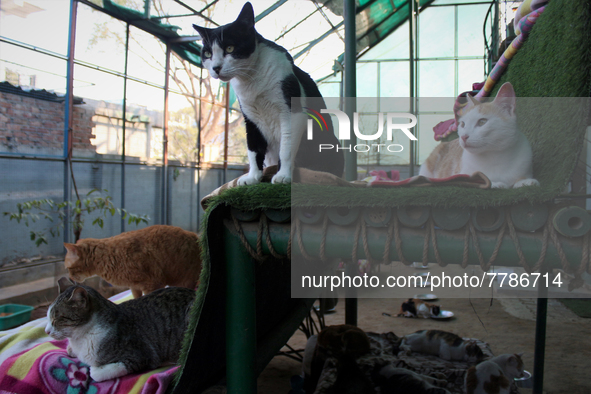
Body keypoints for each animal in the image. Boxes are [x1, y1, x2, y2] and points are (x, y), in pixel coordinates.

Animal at [46, 278, 194, 382]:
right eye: (47, 317)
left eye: (56, 319)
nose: (46, 331)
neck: (81, 338)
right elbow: (70, 350)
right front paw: (71, 349)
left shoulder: (140, 356)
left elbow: (97, 373)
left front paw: (94, 368)